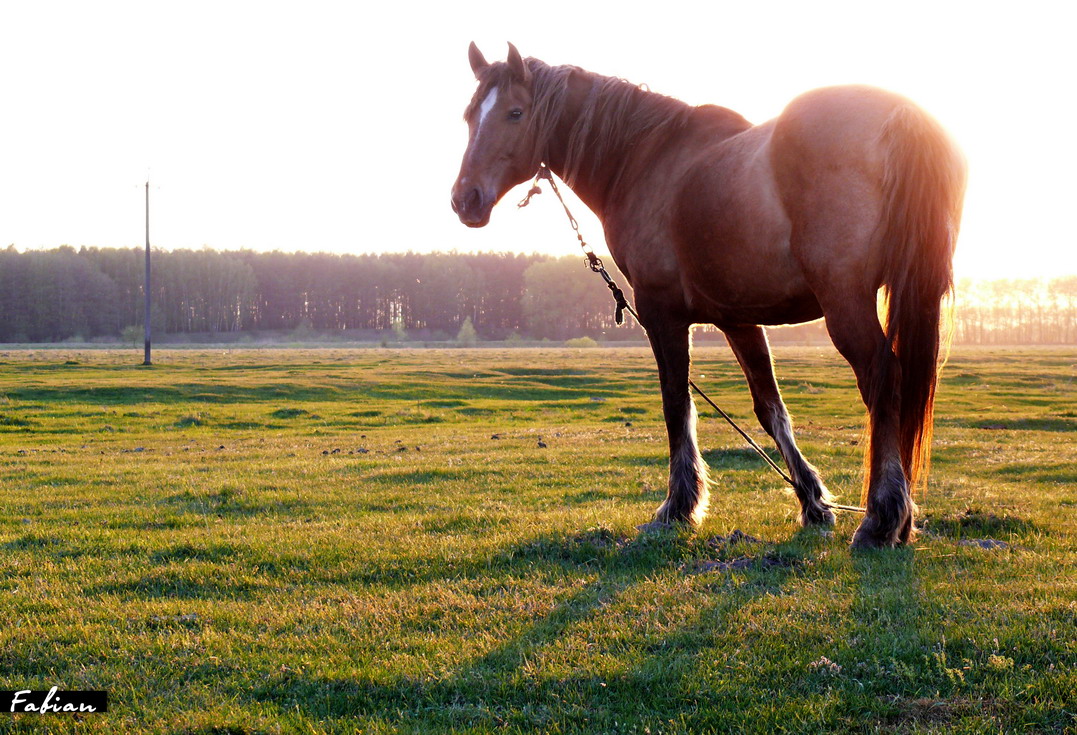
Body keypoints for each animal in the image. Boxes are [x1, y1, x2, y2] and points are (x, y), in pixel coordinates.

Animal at [448, 40, 969, 543]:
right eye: (470, 115)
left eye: (515, 112)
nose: (464, 199)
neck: (643, 158)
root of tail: (900, 114)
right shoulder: (739, 317)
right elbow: (770, 409)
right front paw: (812, 502)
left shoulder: (662, 314)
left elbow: (676, 405)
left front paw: (678, 507)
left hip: (846, 301)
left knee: (882, 377)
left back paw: (881, 519)